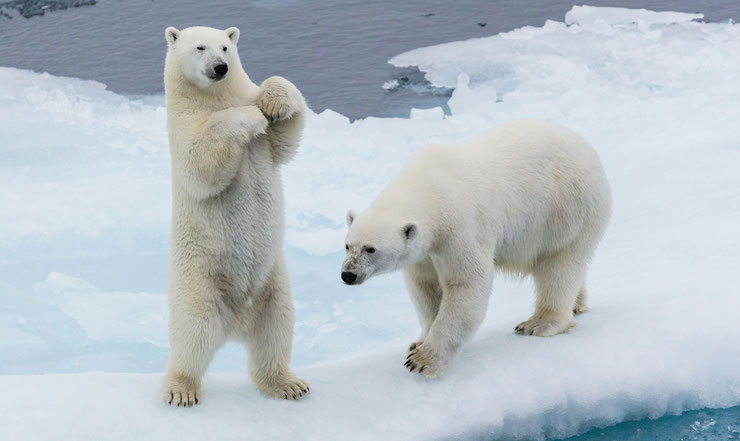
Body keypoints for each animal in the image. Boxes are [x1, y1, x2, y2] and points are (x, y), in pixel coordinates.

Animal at [162, 24, 310, 406]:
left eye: (226, 47)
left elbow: (286, 137)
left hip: (272, 283)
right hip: (198, 281)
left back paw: (288, 383)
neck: (213, 97)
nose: (220, 68)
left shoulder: (267, 144)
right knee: (192, 335)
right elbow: (201, 163)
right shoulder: (182, 127)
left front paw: (272, 103)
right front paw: (251, 117)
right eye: (200, 47)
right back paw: (181, 388)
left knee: (276, 330)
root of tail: (237, 323)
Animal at [342, 119, 612, 378]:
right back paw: (577, 303)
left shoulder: (460, 226)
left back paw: (539, 323)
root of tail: (587, 149)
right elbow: (425, 286)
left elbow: (466, 283)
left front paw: (423, 361)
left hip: (566, 210)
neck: (430, 187)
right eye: (347, 246)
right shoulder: (426, 250)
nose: (348, 275)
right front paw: (418, 342)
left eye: (371, 249)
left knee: (559, 265)